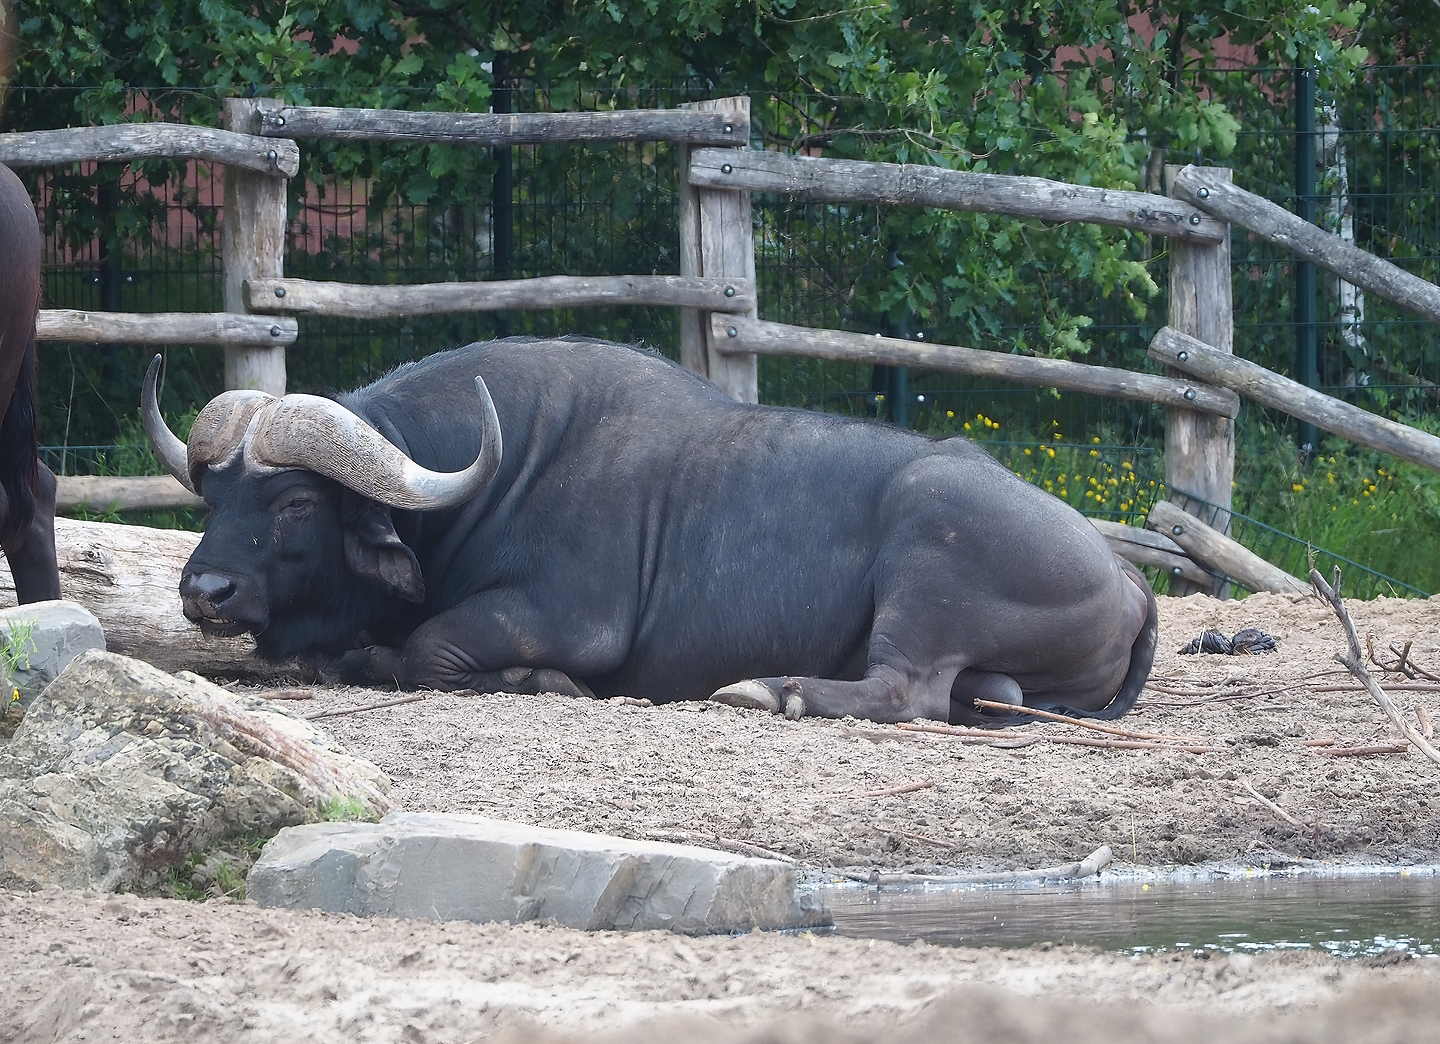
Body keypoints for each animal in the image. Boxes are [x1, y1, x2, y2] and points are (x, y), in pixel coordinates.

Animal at [143, 336, 1156, 726]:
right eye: (214, 497)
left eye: (295, 504)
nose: (205, 590)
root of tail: (1130, 577)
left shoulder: (565, 618)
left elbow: (427, 651)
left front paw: (540, 682)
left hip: (926, 547)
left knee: (908, 691)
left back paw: (770, 689)